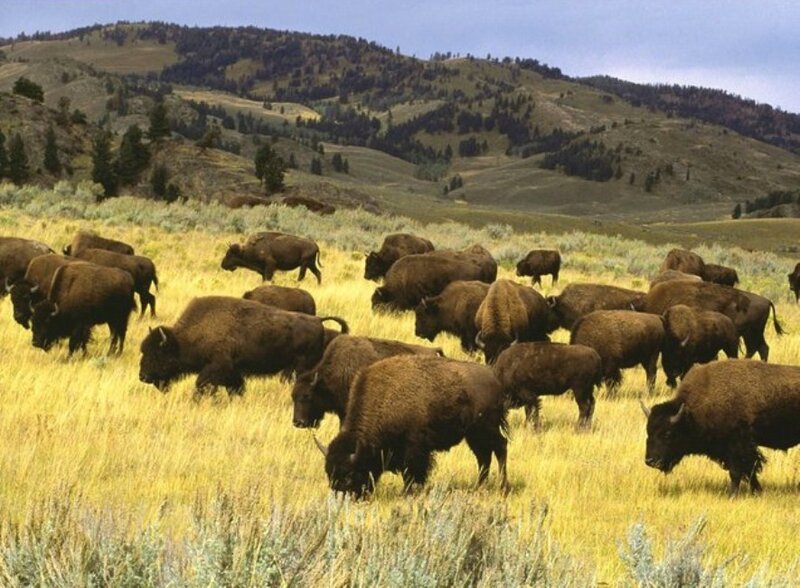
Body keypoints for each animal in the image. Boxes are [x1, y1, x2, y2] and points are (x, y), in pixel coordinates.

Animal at [139, 296, 348, 395]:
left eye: (157, 354)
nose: (143, 376)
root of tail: (318, 320)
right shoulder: (233, 372)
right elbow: (236, 389)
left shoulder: (216, 367)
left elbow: (201, 385)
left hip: (300, 367)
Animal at [316, 355, 509, 497]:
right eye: (329, 473)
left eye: (349, 475)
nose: (342, 497)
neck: (384, 399)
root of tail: (495, 380)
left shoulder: (414, 447)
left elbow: (412, 471)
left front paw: (407, 492)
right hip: (473, 435)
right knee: (484, 457)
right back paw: (479, 486)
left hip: (486, 429)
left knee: (500, 447)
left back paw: (502, 487)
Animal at [642, 360, 800, 496]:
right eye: (648, 432)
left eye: (667, 434)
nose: (650, 461)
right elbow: (749, 471)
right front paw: (757, 492)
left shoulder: (738, 446)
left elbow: (738, 471)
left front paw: (732, 495)